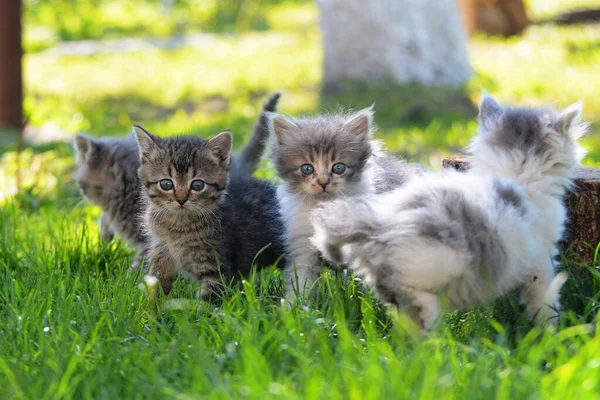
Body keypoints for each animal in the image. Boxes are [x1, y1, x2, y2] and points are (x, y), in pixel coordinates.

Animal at [136, 126, 286, 298]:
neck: (178, 225)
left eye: (198, 185)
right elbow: (157, 279)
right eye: (166, 184)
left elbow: (209, 297)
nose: (181, 199)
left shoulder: (216, 265)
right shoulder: (161, 246)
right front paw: (153, 303)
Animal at [270, 108, 420, 302]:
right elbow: (300, 279)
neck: (326, 205)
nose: (323, 183)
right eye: (307, 168)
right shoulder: (302, 242)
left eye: (339, 167)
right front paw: (293, 306)